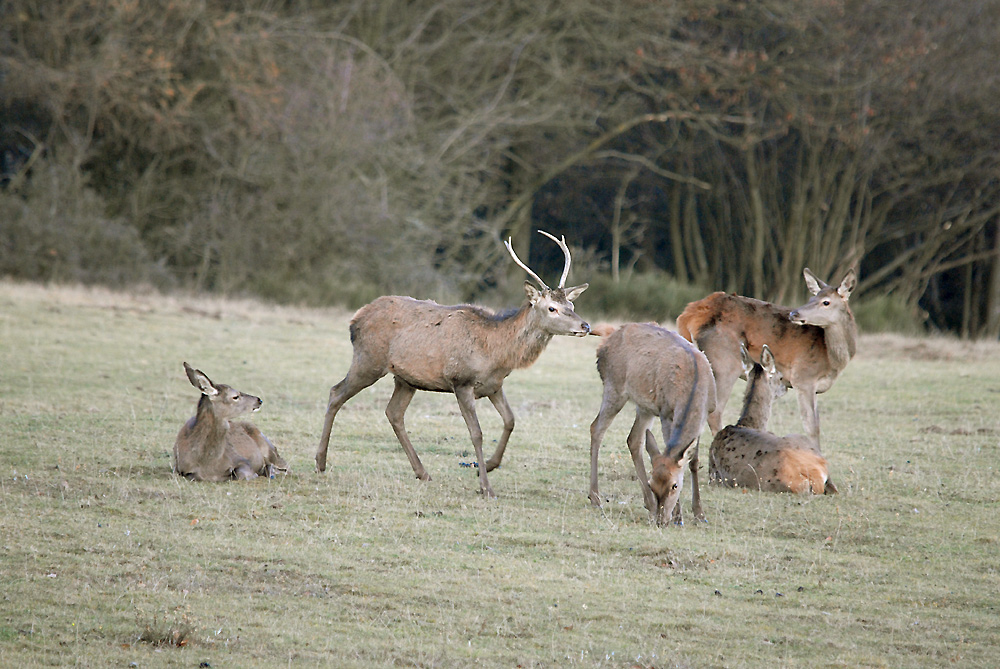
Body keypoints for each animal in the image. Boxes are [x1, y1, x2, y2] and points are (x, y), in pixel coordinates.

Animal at [316, 230, 588, 496]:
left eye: (571, 304)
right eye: (552, 308)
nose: (585, 325)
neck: (496, 352)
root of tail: (355, 319)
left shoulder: (494, 385)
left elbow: (510, 421)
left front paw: (489, 465)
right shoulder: (461, 381)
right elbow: (476, 433)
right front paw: (485, 486)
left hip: (405, 379)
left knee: (393, 412)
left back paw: (422, 472)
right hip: (368, 360)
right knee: (335, 392)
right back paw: (320, 462)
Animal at [588, 324, 716, 528]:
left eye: (674, 486)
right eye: (652, 483)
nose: (661, 520)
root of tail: (606, 338)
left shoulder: (707, 414)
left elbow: (693, 461)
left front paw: (699, 514)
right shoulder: (666, 412)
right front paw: (679, 517)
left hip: (645, 407)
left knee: (633, 439)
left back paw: (648, 504)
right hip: (614, 387)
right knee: (597, 428)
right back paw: (595, 497)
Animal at [676, 264, 856, 446]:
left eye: (825, 302)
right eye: (812, 298)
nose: (794, 314)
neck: (831, 359)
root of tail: (687, 316)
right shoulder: (803, 377)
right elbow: (813, 428)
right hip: (725, 362)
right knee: (714, 411)